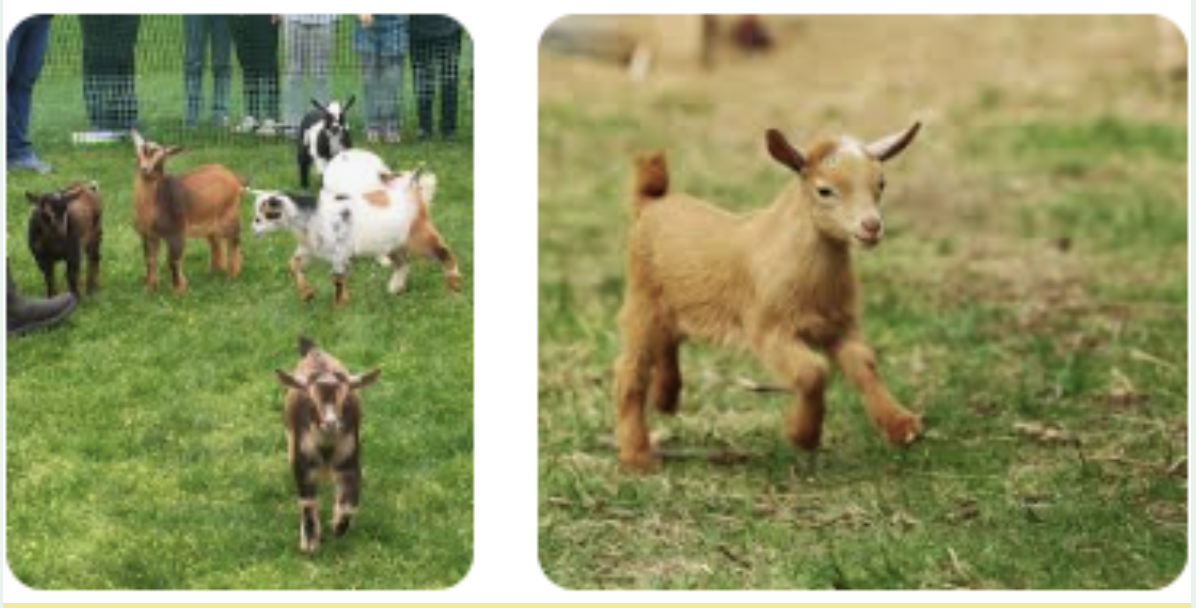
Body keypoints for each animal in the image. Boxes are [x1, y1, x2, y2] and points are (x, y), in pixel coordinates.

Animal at [131, 130, 246, 293]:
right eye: (138, 152)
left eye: (161, 155)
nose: (145, 169)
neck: (160, 197)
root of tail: (233, 177)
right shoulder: (148, 235)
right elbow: (150, 260)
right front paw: (150, 287)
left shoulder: (176, 232)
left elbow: (173, 260)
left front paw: (179, 289)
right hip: (210, 222)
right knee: (215, 242)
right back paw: (214, 271)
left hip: (231, 215)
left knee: (234, 241)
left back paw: (233, 273)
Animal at [249, 168, 459, 306]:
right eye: (257, 216)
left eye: (264, 216)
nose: (253, 229)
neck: (311, 215)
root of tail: (413, 192)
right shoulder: (308, 249)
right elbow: (292, 265)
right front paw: (307, 294)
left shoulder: (339, 253)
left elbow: (338, 279)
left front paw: (339, 306)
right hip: (390, 243)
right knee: (403, 263)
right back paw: (395, 288)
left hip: (419, 236)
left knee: (444, 252)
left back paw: (454, 284)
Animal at [276, 336, 380, 553]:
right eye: (311, 400)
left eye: (345, 399)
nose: (331, 423)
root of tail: (314, 350)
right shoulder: (303, 462)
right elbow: (307, 502)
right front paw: (309, 542)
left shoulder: (349, 460)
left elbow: (348, 504)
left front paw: (338, 527)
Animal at [615, 122, 924, 470]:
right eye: (824, 190)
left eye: (881, 183)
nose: (871, 227)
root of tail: (651, 202)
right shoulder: (768, 329)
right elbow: (812, 371)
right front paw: (803, 435)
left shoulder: (841, 325)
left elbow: (864, 365)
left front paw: (902, 425)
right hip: (641, 301)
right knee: (629, 370)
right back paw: (637, 456)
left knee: (668, 343)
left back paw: (666, 399)